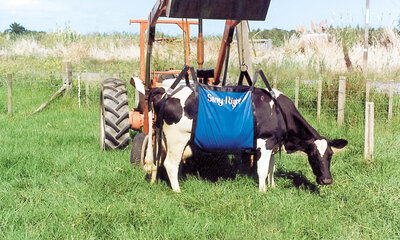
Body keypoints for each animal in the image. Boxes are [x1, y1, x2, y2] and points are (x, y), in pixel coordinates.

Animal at [141, 68, 346, 192]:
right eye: (313, 155)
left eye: (330, 155)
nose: (327, 180)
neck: (279, 110)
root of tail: (165, 91)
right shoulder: (265, 143)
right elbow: (262, 170)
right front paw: (263, 191)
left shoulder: (273, 145)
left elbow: (271, 168)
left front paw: (272, 187)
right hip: (177, 139)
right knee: (170, 164)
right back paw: (177, 190)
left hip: (162, 139)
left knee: (157, 161)